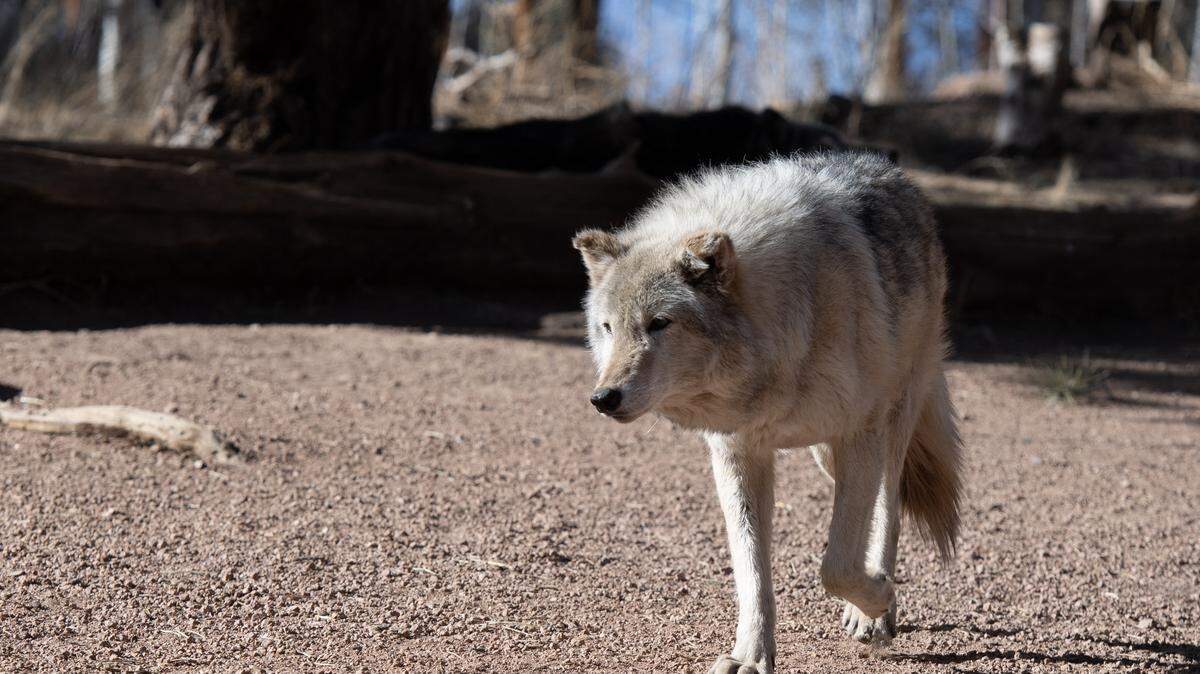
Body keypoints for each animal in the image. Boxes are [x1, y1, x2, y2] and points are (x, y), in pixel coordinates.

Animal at [572, 152, 962, 674]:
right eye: (608, 327)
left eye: (658, 324)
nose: (604, 397)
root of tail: (889, 169)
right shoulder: (737, 453)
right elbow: (751, 571)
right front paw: (751, 656)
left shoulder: (858, 434)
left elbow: (835, 565)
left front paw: (878, 599)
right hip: (826, 456)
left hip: (889, 424)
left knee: (888, 508)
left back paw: (875, 611)